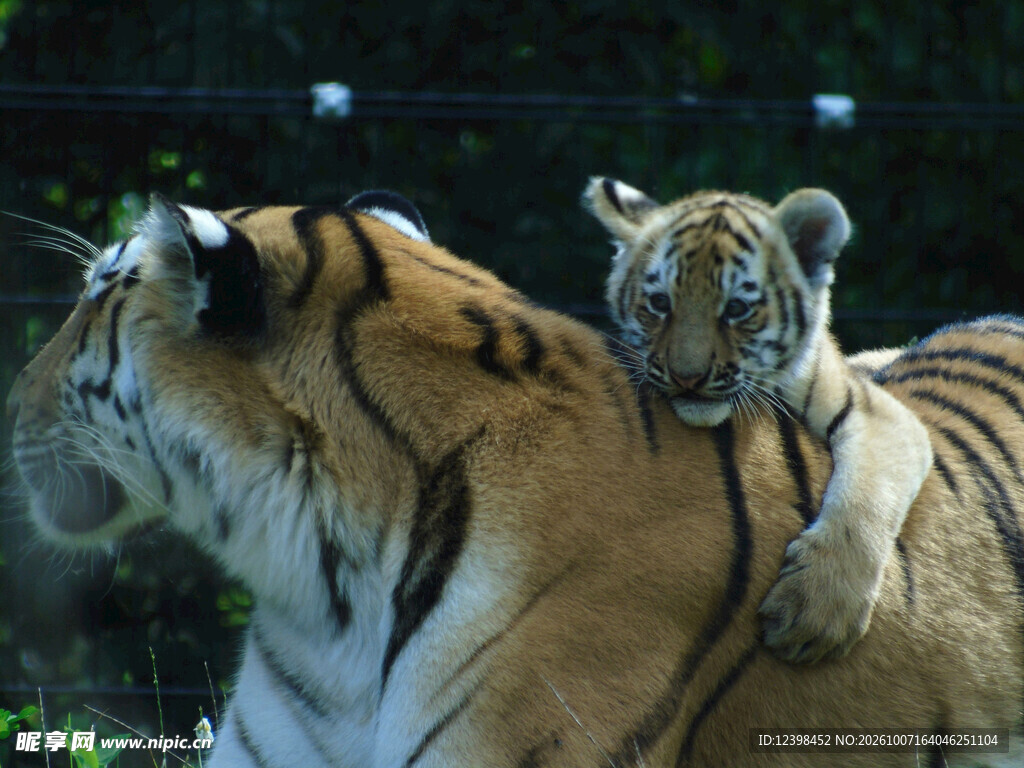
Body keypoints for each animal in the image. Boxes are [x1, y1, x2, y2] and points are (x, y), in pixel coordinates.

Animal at [583, 177, 934, 664]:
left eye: (736, 309)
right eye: (659, 302)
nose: (687, 377)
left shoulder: (879, 414)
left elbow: (865, 499)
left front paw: (814, 612)